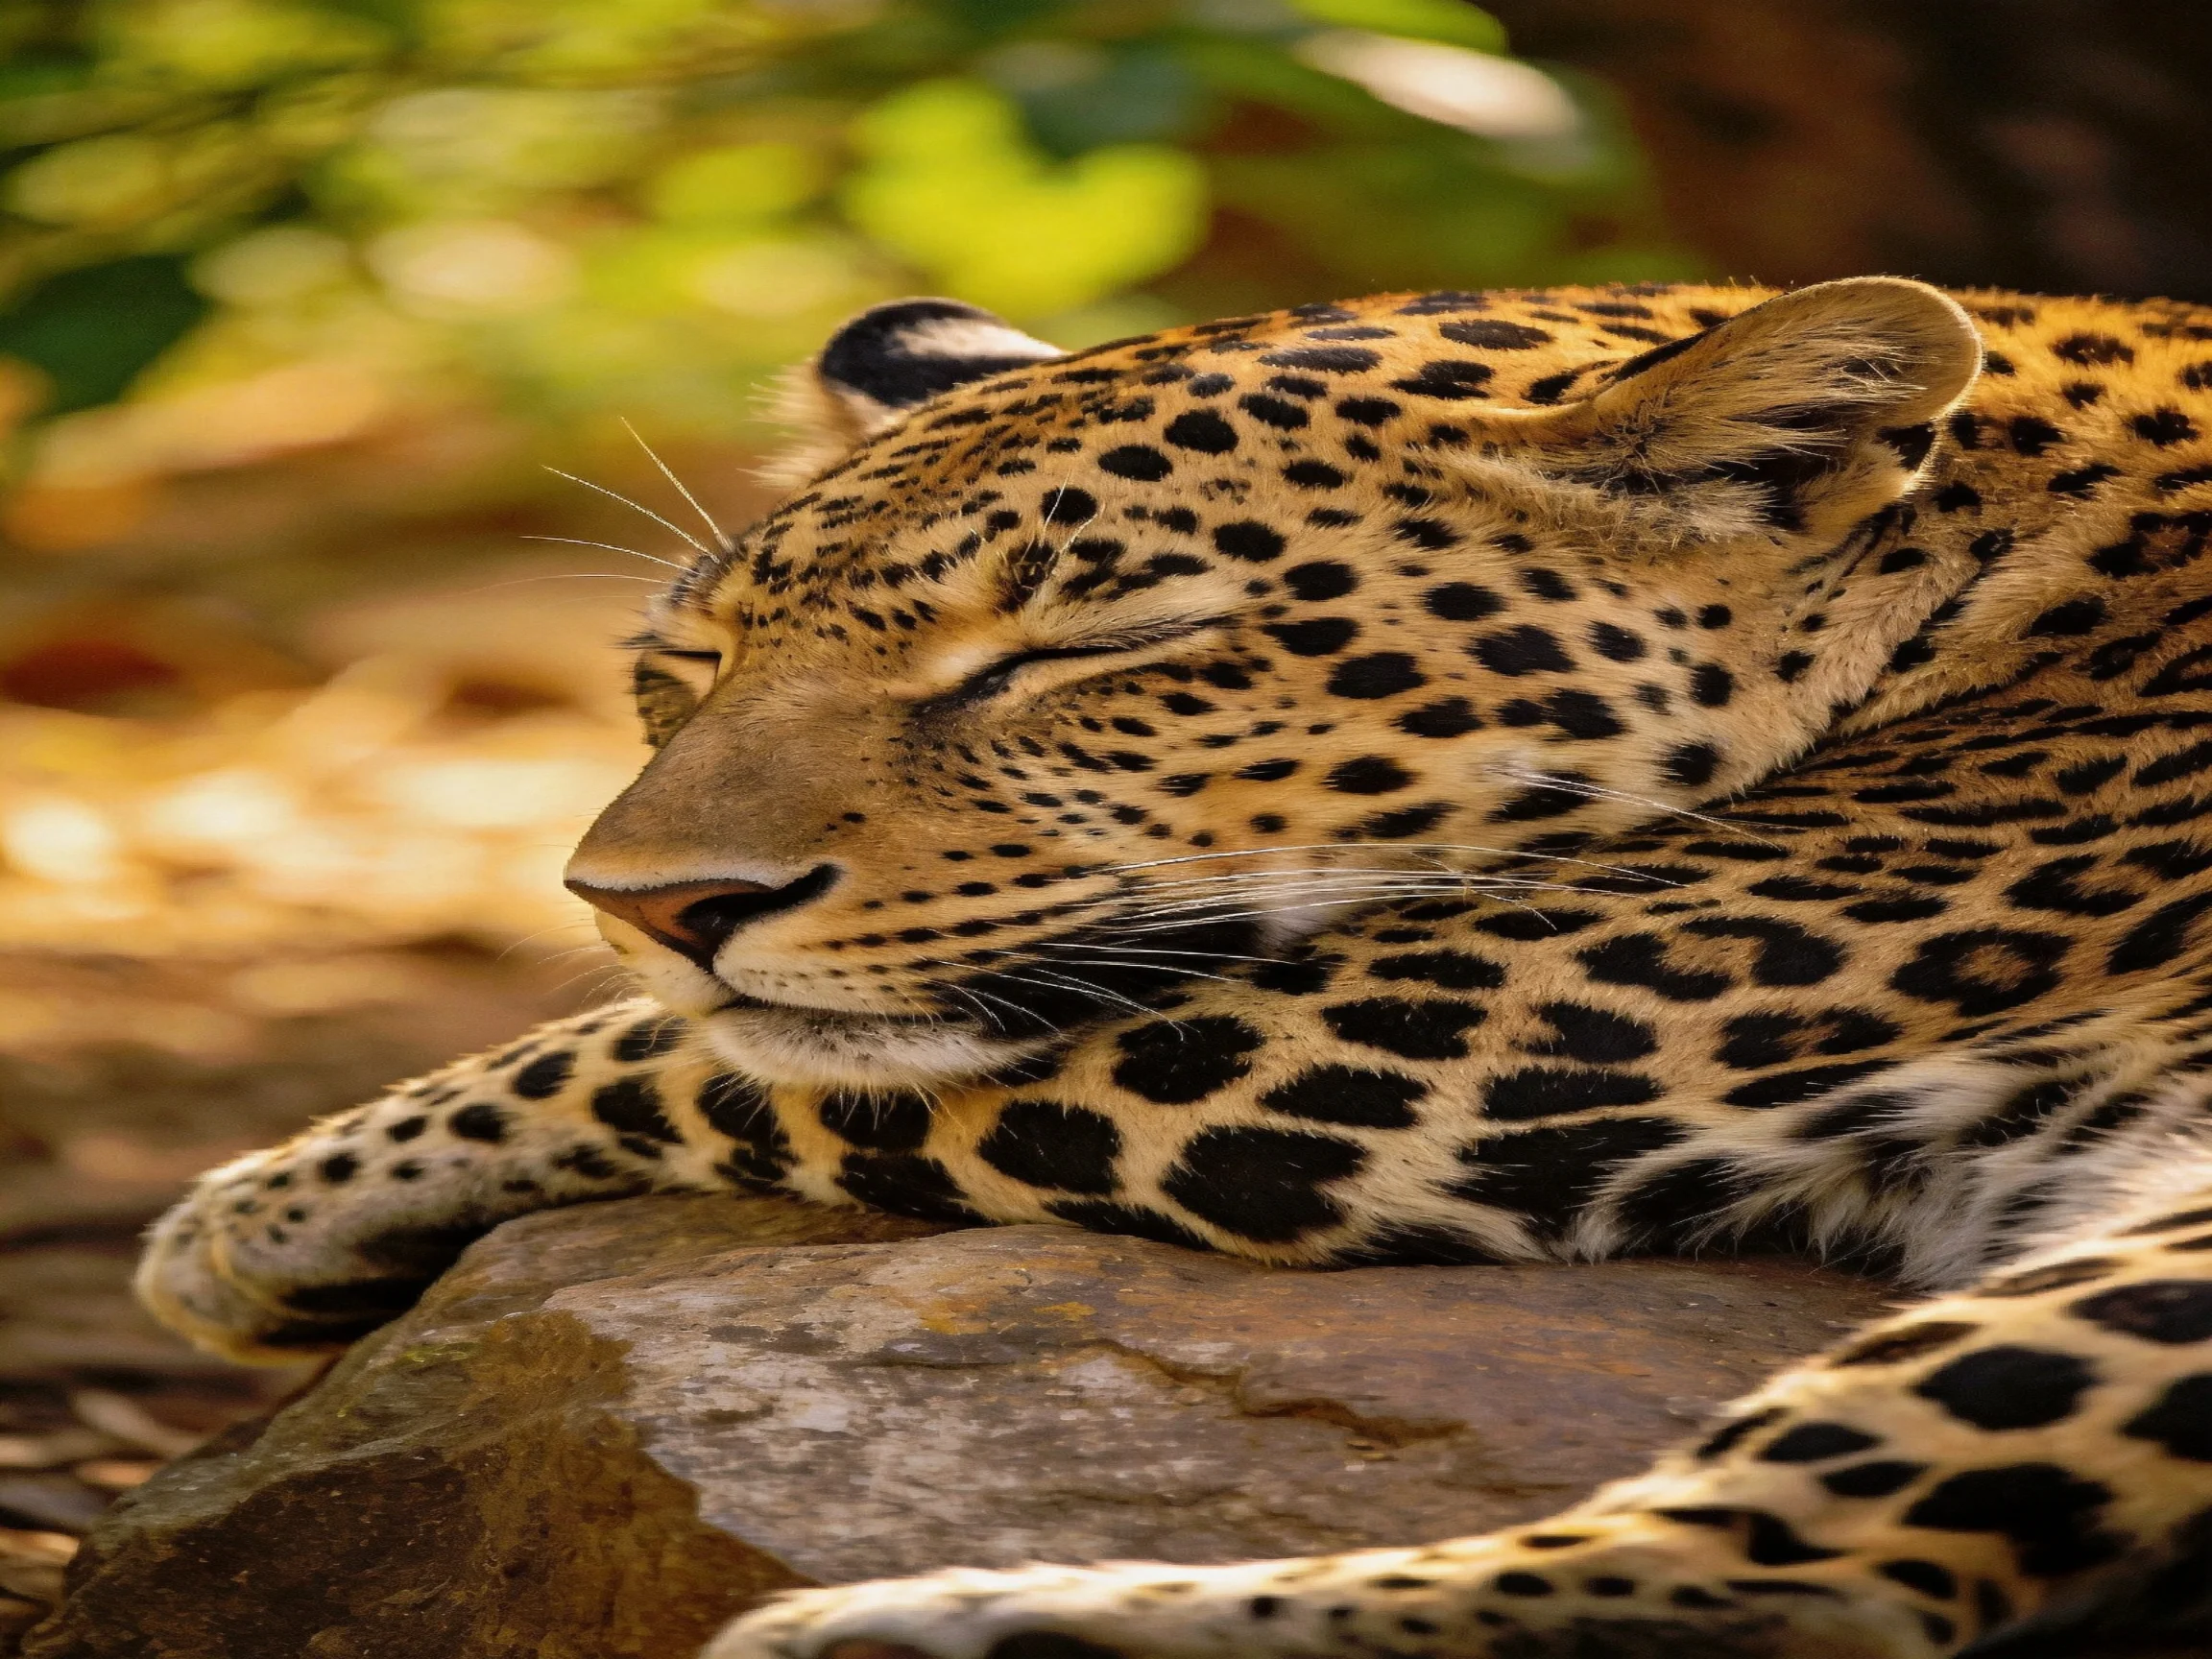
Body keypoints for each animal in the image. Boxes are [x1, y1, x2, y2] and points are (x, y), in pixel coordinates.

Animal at [136, 275, 2212, 1659]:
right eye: (690, 663)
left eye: (1078, 657)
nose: (644, 901)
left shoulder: (1445, 1030)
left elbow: (685, 1054)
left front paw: (254, 1210)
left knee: (1796, 1590)